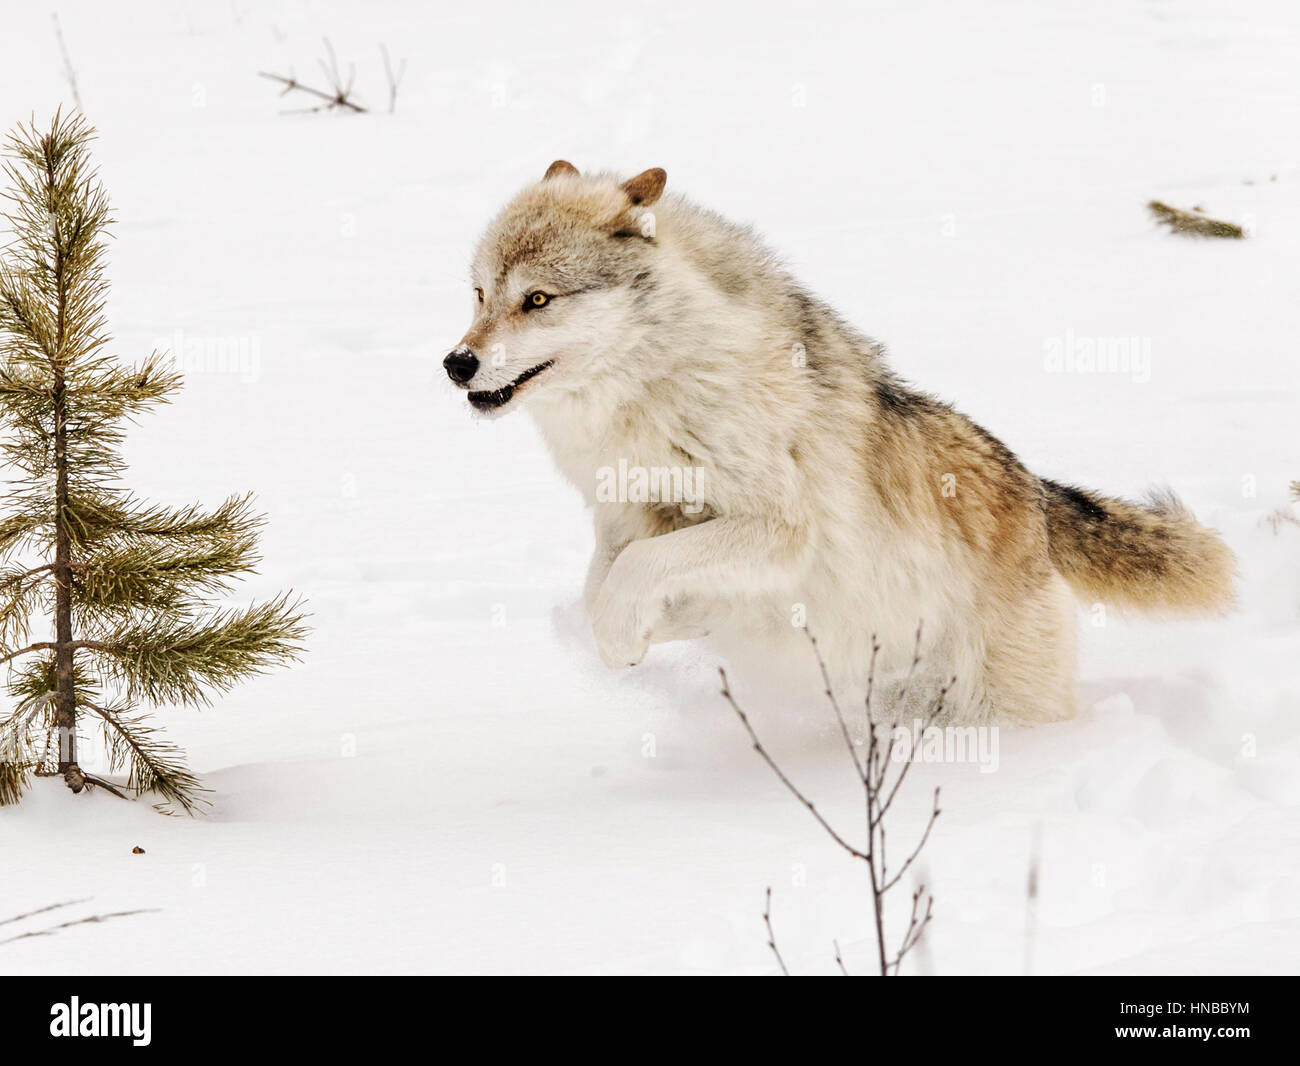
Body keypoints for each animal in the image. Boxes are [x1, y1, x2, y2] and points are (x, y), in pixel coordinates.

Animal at [444, 160, 1235, 723]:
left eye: (537, 299)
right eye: (480, 294)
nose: (457, 364)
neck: (655, 387)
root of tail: (1036, 499)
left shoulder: (778, 529)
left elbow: (639, 572)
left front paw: (620, 638)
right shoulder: (627, 521)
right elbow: (606, 583)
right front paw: (633, 640)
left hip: (999, 701)